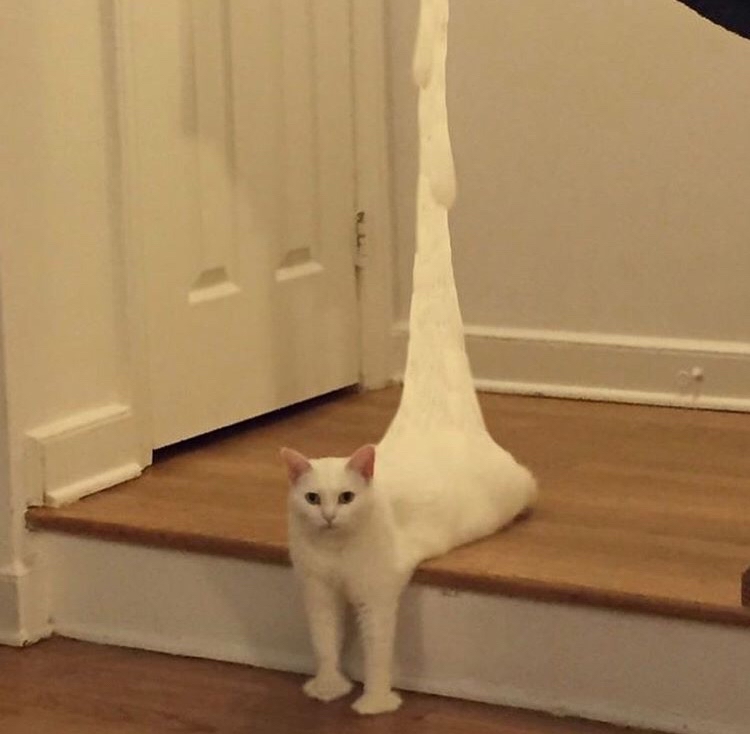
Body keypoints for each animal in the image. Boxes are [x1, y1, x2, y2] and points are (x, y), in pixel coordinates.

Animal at [280, 0, 537, 715]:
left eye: (345, 496)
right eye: (312, 498)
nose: (330, 514)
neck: (337, 555)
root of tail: (435, 419)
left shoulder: (378, 593)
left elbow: (377, 649)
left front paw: (372, 703)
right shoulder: (315, 593)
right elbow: (323, 642)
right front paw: (325, 687)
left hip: (514, 488)